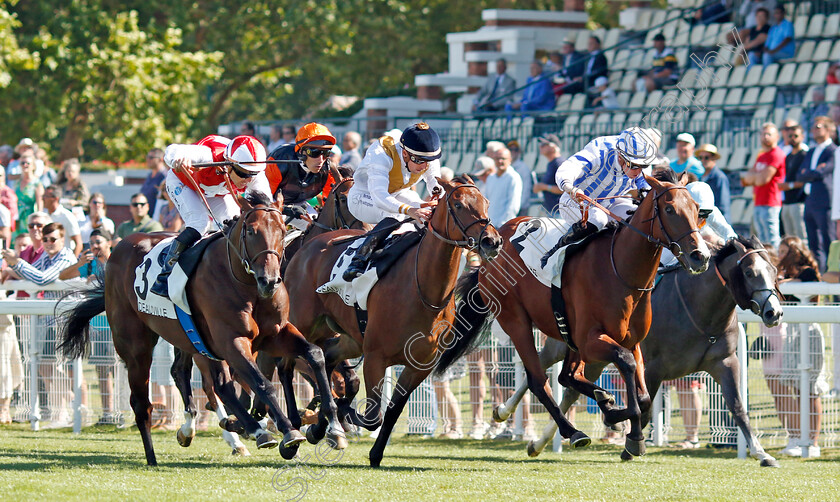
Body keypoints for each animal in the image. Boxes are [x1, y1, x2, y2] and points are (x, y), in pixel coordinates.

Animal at [58, 193, 344, 466]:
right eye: (251, 231)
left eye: (282, 230)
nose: (270, 281)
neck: (244, 282)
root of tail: (119, 248)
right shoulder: (232, 340)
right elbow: (262, 383)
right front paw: (289, 432)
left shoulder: (275, 334)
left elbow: (314, 355)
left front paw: (332, 426)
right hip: (136, 345)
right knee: (143, 403)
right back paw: (154, 456)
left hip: (192, 340)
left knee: (208, 382)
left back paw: (242, 429)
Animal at [286, 176, 502, 466]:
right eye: (458, 204)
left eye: (486, 202)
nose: (492, 241)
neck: (423, 290)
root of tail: (306, 246)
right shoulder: (375, 357)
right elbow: (372, 415)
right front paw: (339, 414)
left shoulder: (419, 366)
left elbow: (391, 411)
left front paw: (374, 452)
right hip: (301, 324)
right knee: (287, 365)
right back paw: (295, 429)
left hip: (348, 337)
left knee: (326, 359)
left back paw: (321, 424)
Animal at [436, 175, 712, 460]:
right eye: (669, 209)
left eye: (696, 209)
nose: (700, 256)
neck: (620, 270)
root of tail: (495, 240)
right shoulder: (592, 341)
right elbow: (625, 365)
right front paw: (633, 435)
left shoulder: (631, 341)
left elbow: (643, 395)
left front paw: (617, 415)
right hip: (517, 322)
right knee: (539, 380)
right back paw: (571, 431)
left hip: (567, 335)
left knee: (566, 376)